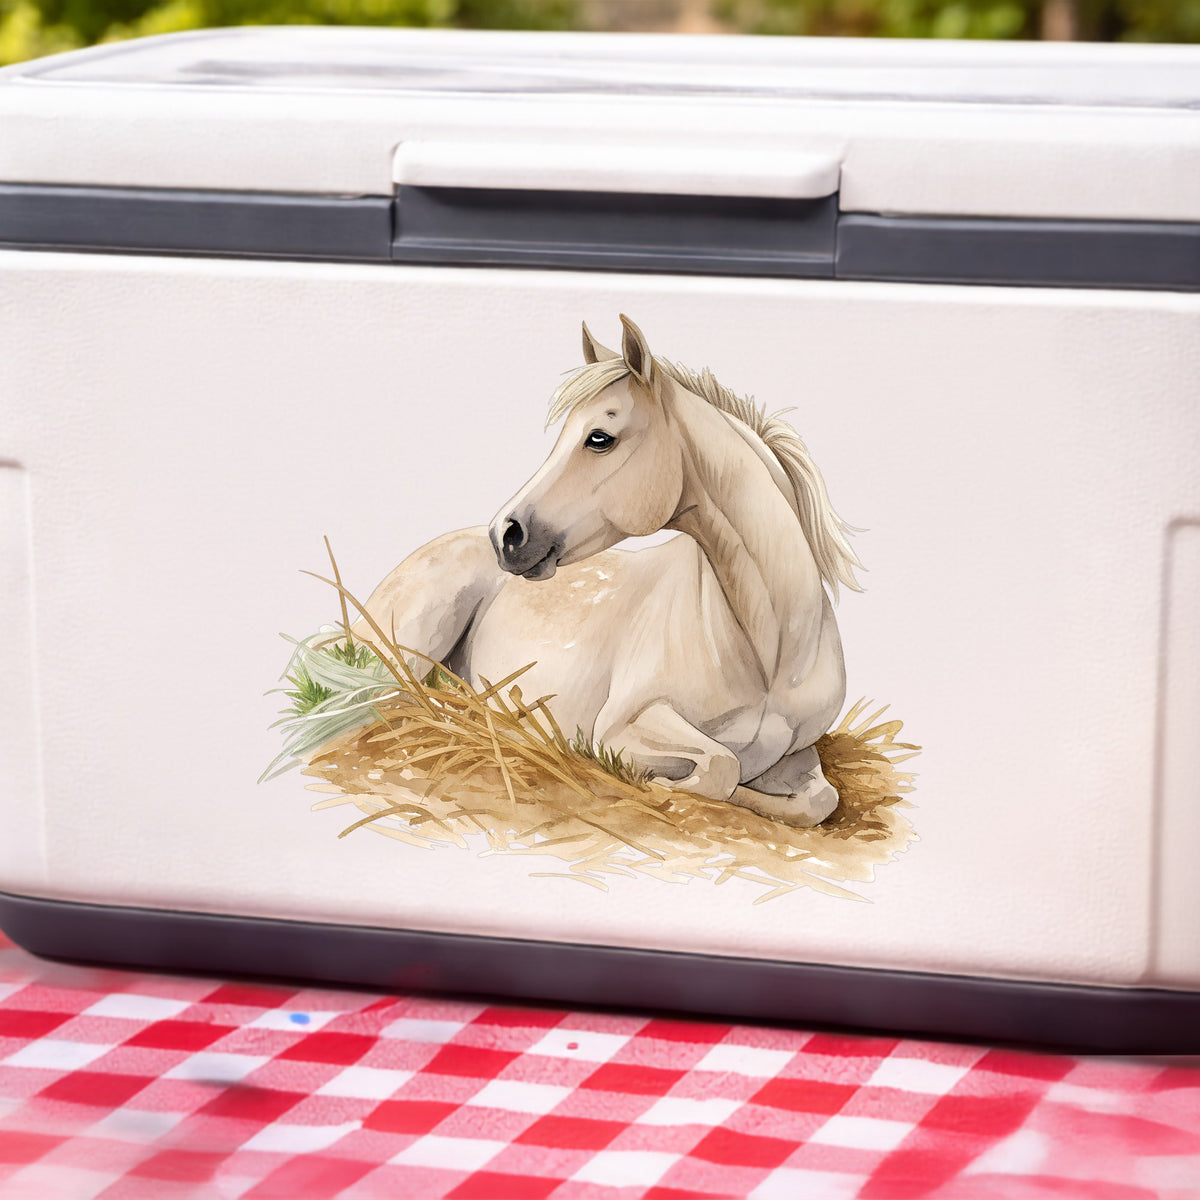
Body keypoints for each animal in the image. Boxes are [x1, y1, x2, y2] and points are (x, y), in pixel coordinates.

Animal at [348, 316, 863, 827]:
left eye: (599, 438)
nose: (506, 534)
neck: (771, 656)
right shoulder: (619, 727)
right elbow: (722, 767)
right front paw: (657, 784)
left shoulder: (799, 753)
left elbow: (817, 801)